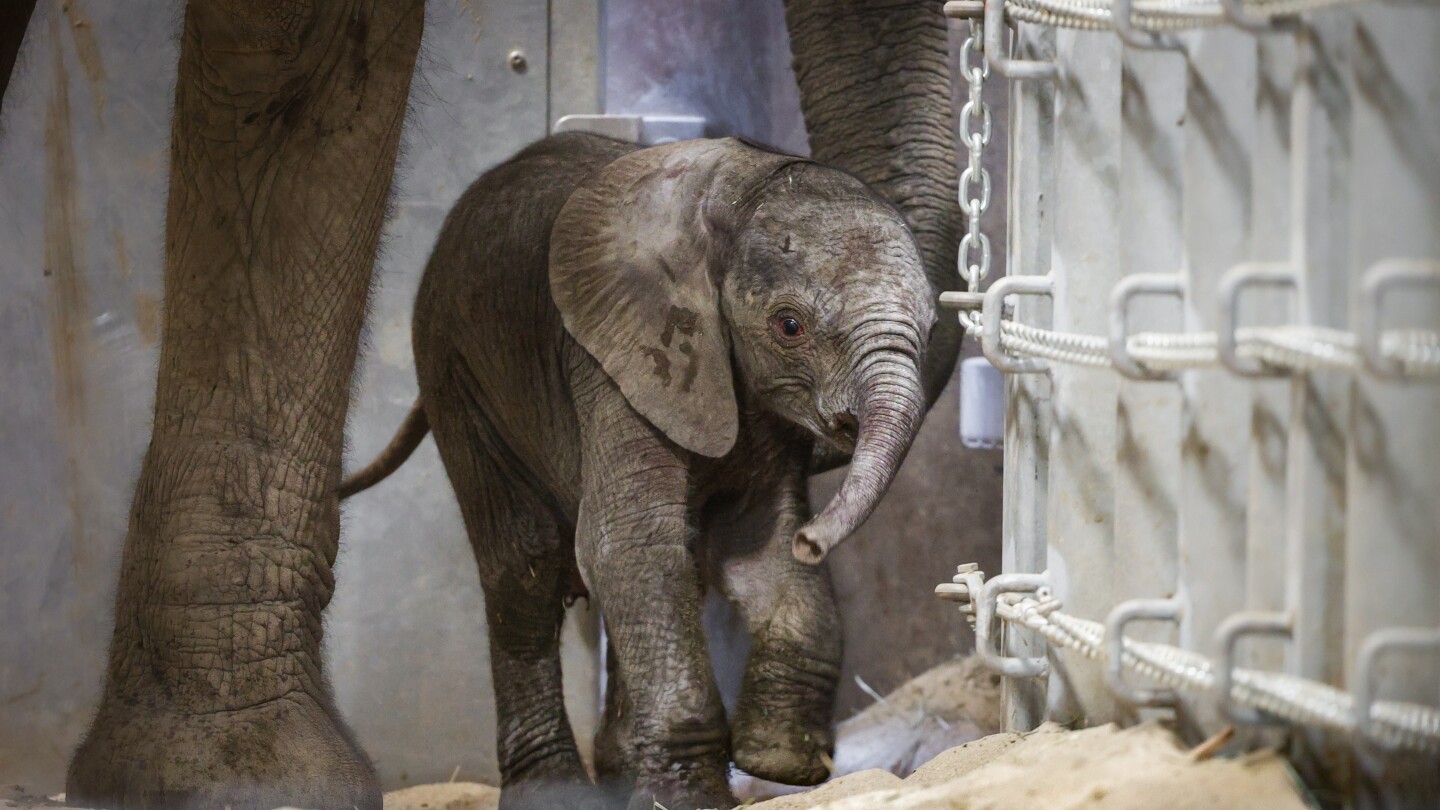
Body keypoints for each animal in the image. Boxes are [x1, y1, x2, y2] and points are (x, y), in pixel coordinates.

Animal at [344, 134, 938, 807]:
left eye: (933, 324)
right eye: (789, 326)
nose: (814, 541)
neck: (741, 184)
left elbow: (755, 545)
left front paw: (780, 762)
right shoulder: (615, 355)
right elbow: (626, 542)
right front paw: (690, 798)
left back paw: (620, 774)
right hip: (455, 369)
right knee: (525, 567)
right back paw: (555, 792)